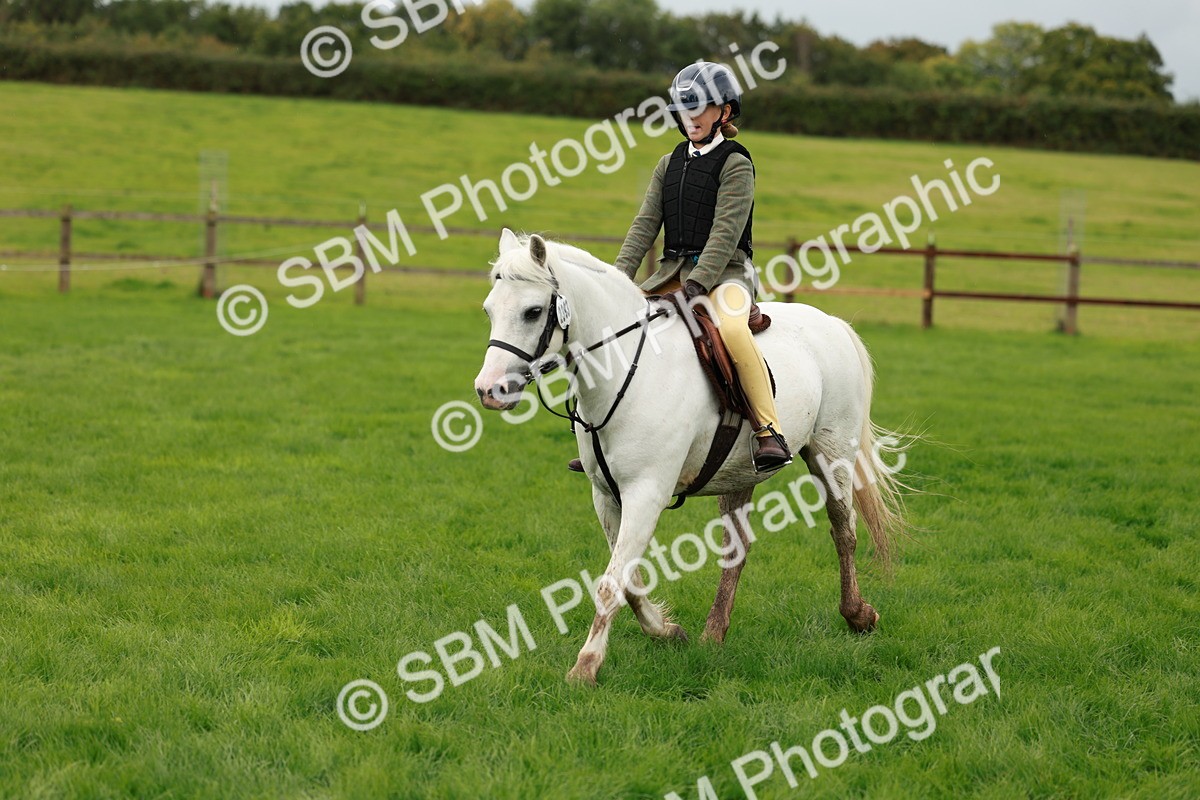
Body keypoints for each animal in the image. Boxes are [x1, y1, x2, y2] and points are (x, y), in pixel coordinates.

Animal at [474, 229, 906, 686]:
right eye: (489, 310)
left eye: (533, 311)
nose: (489, 390)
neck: (627, 367)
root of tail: (832, 324)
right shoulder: (607, 496)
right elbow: (628, 578)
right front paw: (665, 630)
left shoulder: (646, 492)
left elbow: (612, 582)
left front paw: (586, 666)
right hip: (740, 474)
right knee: (737, 550)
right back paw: (713, 635)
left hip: (831, 454)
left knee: (844, 530)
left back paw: (858, 615)